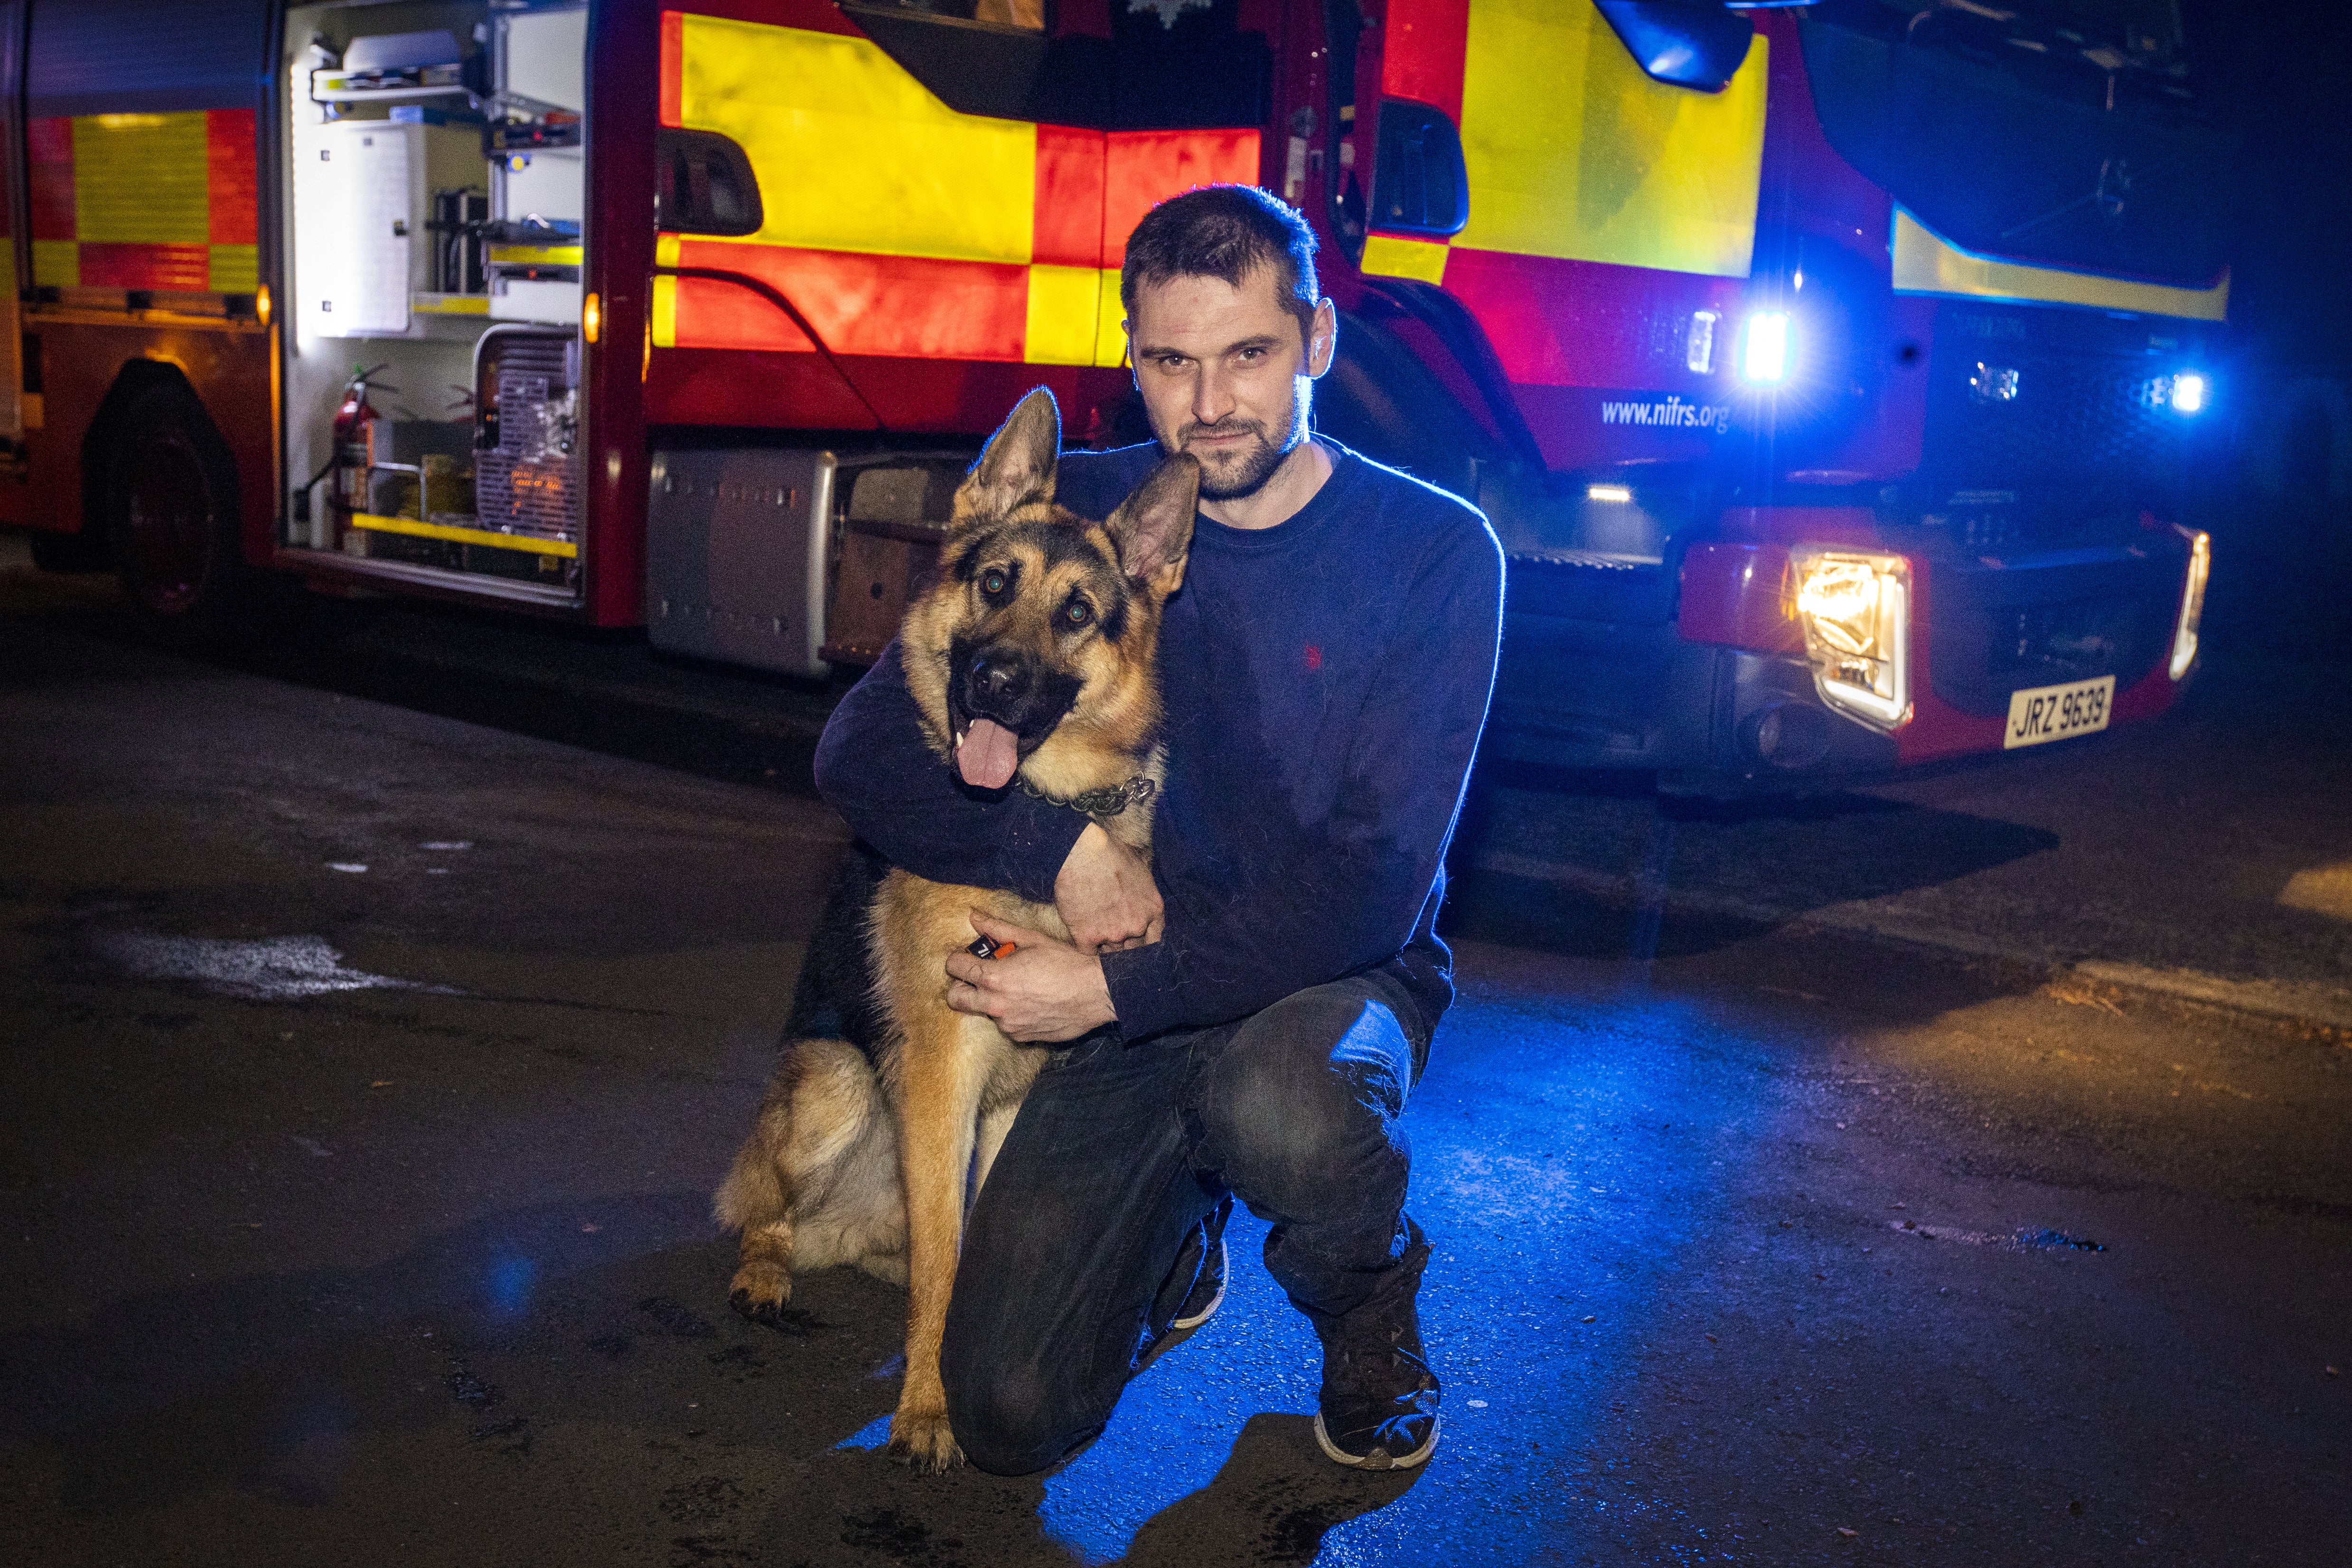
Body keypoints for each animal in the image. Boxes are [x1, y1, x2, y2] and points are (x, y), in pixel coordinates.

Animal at [710, 390, 1195, 1476]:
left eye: (1076, 612)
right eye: (993, 582)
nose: (997, 678)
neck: (1043, 826)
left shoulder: (1010, 1097)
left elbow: (968, 1247)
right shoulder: (940, 1076)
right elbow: (947, 1256)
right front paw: (929, 1407)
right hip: (836, 1085)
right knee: (762, 1208)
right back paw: (765, 1271)